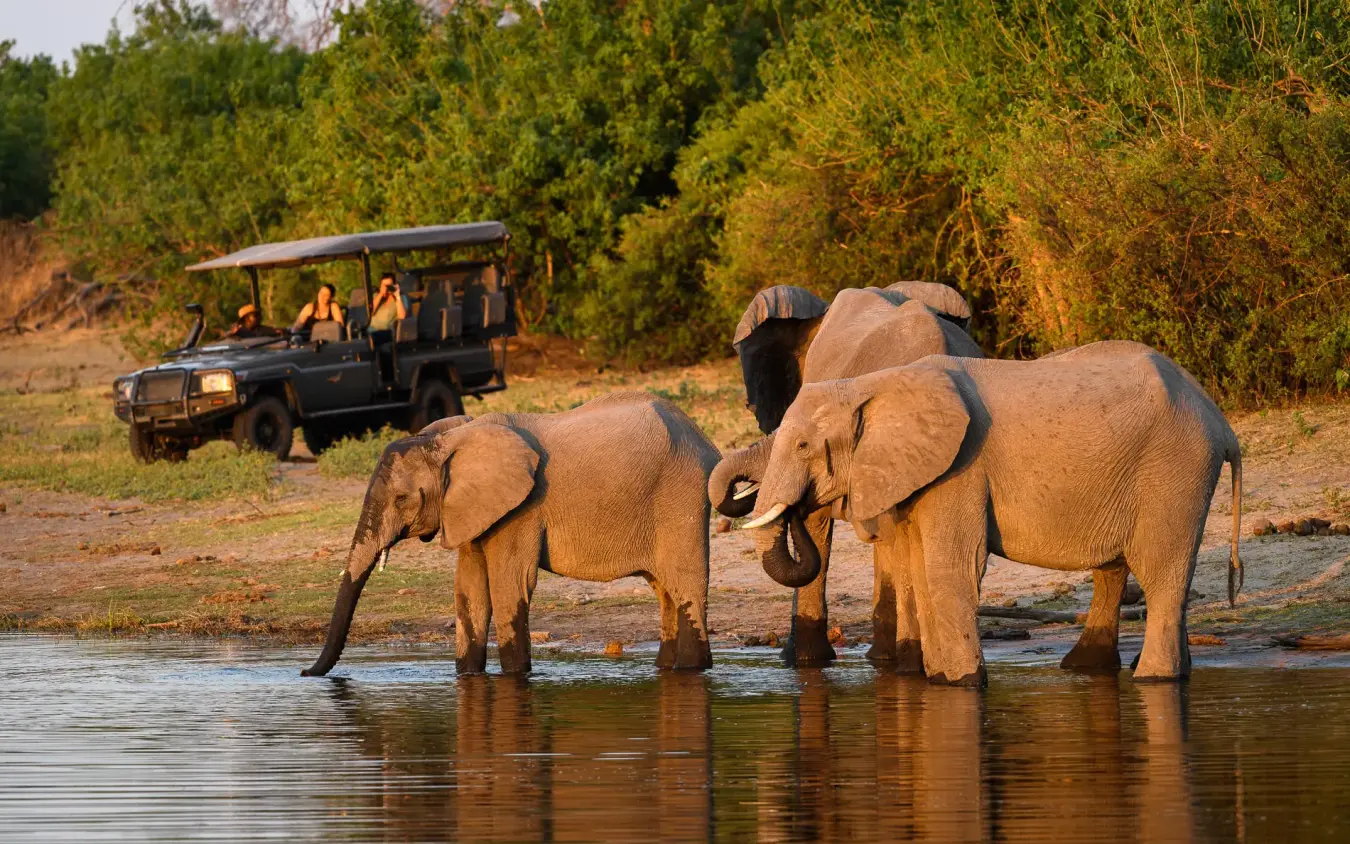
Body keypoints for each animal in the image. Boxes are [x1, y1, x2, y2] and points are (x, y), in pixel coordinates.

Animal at [302, 391, 720, 677]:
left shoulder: (522, 508)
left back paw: (693, 670)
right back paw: (667, 668)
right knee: (664, 589)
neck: (452, 438)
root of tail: (704, 439)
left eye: (402, 499)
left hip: (680, 496)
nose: (305, 672)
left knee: (685, 585)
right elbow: (469, 590)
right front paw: (469, 676)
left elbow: (510, 584)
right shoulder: (472, 508)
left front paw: (516, 676)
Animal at [739, 341, 1243, 686]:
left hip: (1175, 468)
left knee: (1160, 572)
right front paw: (941, 680)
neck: (872, 385)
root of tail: (1221, 422)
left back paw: (1154, 678)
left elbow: (952, 566)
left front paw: (963, 683)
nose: (801, 509)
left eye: (803, 446)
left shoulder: (961, 467)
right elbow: (921, 570)